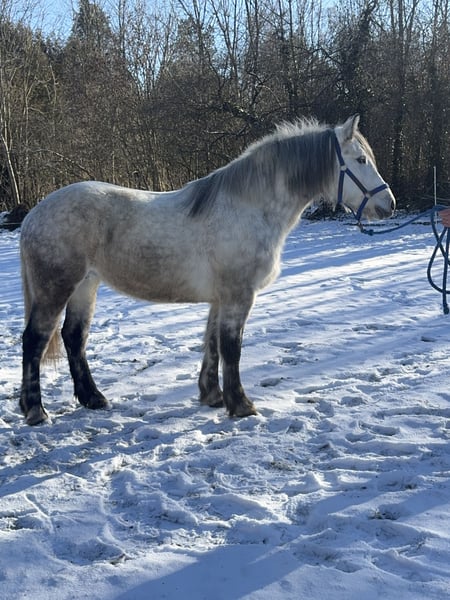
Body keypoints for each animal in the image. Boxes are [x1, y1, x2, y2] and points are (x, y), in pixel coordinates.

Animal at [19, 115, 396, 425]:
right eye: (360, 160)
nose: (389, 205)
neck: (250, 208)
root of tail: (33, 216)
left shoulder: (221, 297)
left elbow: (212, 343)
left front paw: (213, 396)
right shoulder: (238, 295)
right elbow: (232, 347)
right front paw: (241, 405)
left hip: (86, 286)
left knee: (73, 337)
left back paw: (93, 399)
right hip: (57, 288)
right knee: (35, 340)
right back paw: (36, 411)